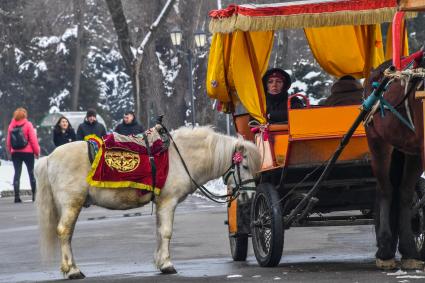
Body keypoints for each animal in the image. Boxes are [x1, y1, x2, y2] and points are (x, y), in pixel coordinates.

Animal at [35, 126, 262, 280]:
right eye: (245, 166)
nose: (250, 196)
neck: (179, 158)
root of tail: (49, 158)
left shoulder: (161, 204)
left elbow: (159, 232)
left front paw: (160, 262)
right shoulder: (168, 202)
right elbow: (166, 232)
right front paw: (168, 264)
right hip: (72, 204)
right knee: (65, 232)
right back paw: (72, 270)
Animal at [362, 60, 422, 270]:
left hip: (411, 151)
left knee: (404, 192)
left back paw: (409, 251)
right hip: (378, 143)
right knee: (386, 190)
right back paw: (385, 250)